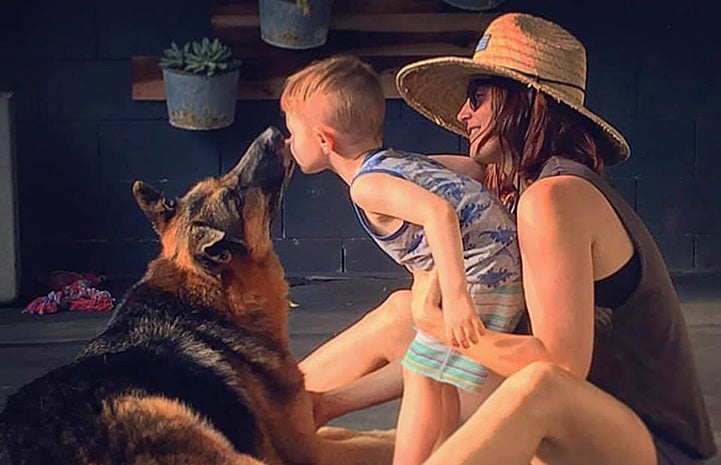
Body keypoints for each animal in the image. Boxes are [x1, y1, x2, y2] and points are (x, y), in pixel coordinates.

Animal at [0, 127, 394, 464]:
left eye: (223, 180)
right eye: (235, 196)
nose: (272, 132)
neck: (211, 300)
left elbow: (366, 433)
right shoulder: (309, 453)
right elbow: (378, 441)